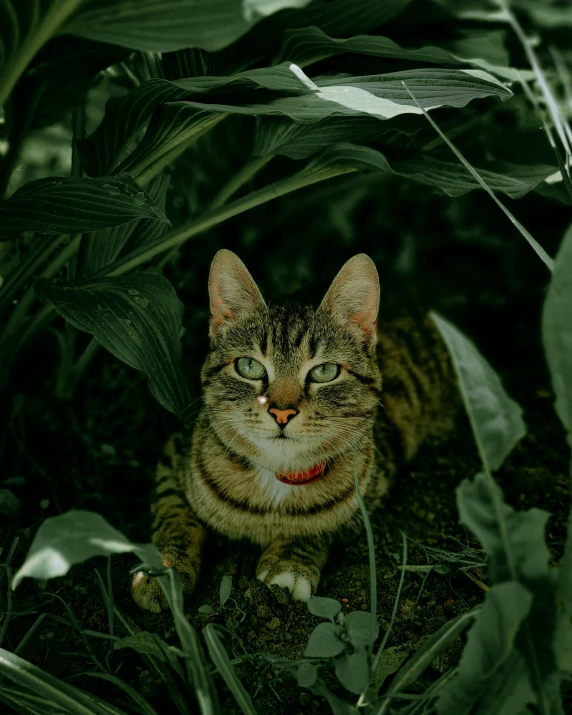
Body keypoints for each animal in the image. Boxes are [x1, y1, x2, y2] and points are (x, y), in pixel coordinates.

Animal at [132, 249, 458, 612]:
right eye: (249, 366)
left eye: (324, 371)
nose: (282, 412)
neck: (276, 481)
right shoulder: (175, 452)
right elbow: (174, 513)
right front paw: (163, 568)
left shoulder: (370, 489)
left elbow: (323, 525)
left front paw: (289, 562)